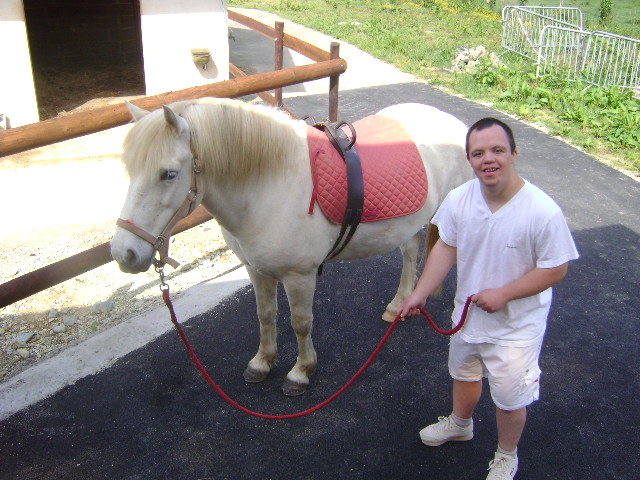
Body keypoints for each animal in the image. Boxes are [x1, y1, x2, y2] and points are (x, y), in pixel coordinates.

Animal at [110, 96, 472, 394]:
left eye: (169, 174)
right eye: (128, 168)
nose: (123, 253)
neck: (270, 185)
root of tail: (456, 124)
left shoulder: (300, 275)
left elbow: (300, 323)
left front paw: (301, 373)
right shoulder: (257, 270)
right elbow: (265, 315)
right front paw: (261, 363)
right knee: (411, 250)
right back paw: (399, 305)